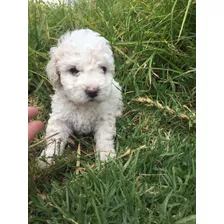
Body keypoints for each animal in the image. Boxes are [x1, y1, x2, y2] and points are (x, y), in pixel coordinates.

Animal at [38, 28, 122, 167]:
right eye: (73, 70)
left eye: (103, 69)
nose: (92, 91)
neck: (83, 105)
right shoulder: (59, 118)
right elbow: (54, 138)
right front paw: (48, 158)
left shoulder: (104, 119)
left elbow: (104, 137)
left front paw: (106, 158)